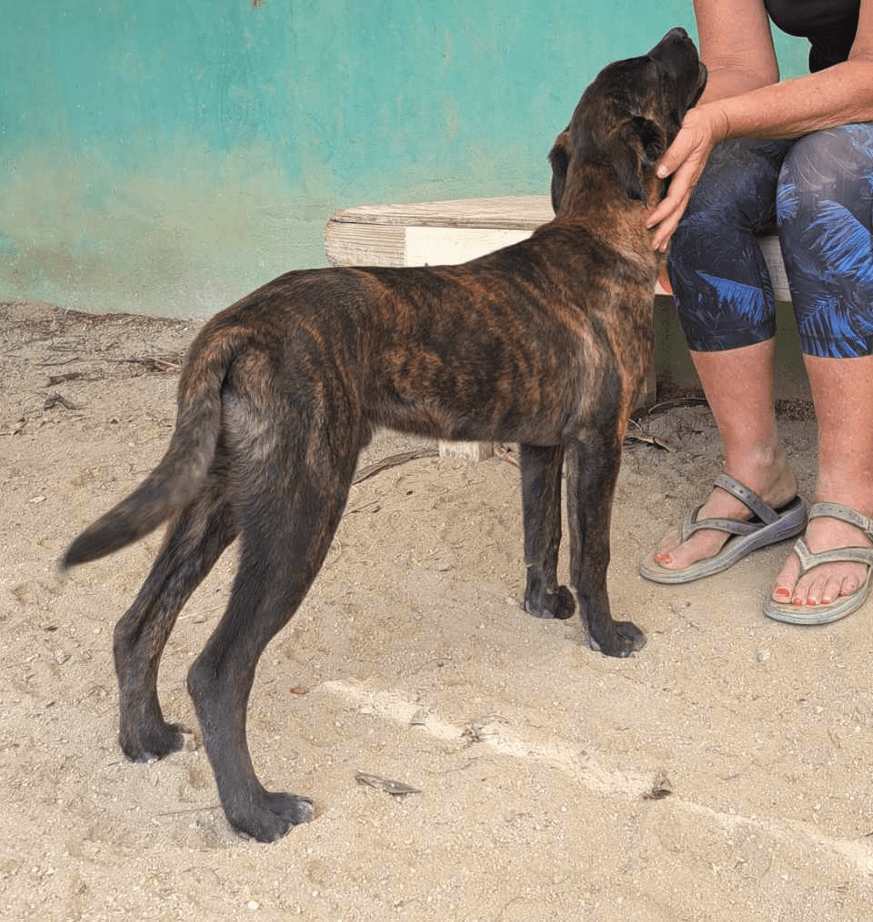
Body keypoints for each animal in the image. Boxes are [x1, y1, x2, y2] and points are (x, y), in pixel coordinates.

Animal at [64, 30, 708, 840]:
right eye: (655, 70)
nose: (683, 34)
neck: (596, 226)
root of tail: (237, 328)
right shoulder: (599, 443)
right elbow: (592, 552)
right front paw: (606, 634)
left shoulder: (541, 447)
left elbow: (541, 536)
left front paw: (544, 606)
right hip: (301, 513)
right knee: (216, 671)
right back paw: (256, 812)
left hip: (215, 505)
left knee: (138, 623)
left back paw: (143, 738)